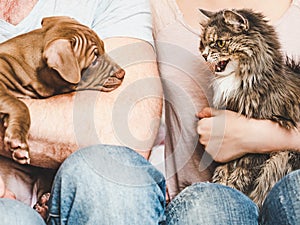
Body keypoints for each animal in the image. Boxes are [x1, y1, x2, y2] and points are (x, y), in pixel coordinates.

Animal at [199, 9, 300, 209]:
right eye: (203, 44)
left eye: (220, 43)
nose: (205, 55)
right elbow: (223, 169)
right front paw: (220, 183)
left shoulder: (255, 148)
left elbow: (242, 173)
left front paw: (233, 188)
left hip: (284, 155)